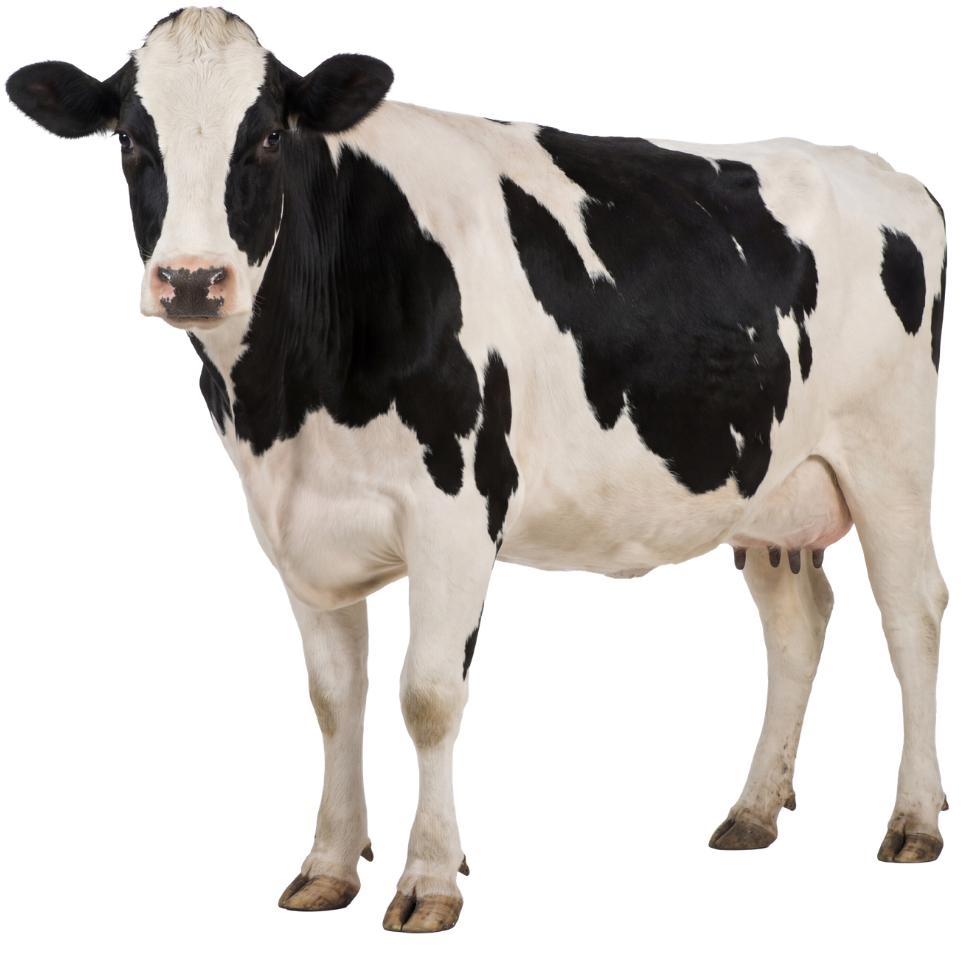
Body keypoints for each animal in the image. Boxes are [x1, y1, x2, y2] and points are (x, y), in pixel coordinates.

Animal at [5, 5, 949, 932]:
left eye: (270, 135)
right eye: (131, 140)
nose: (194, 281)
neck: (288, 396)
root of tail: (884, 172)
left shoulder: (455, 511)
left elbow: (426, 694)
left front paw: (429, 880)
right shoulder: (295, 524)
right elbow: (333, 697)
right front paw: (328, 866)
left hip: (891, 454)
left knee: (912, 613)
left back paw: (914, 818)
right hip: (771, 485)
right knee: (797, 621)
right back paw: (752, 809)